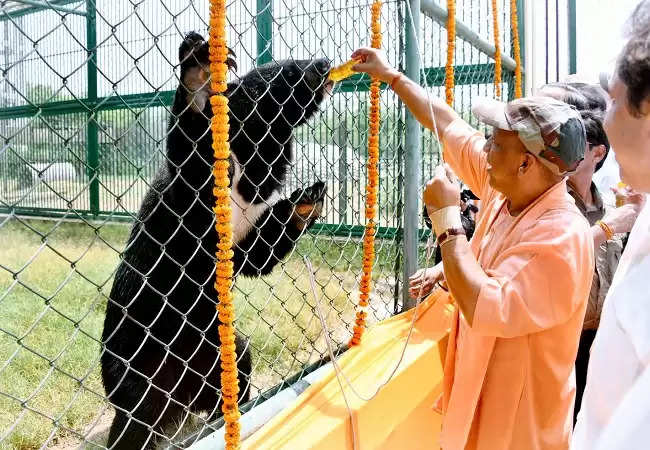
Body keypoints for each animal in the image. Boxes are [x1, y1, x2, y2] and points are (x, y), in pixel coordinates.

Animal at [102, 30, 332, 446]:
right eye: (287, 72)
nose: (324, 64)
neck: (248, 163)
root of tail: (177, 398)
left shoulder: (248, 216)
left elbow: (257, 256)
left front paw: (307, 199)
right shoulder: (194, 195)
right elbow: (191, 148)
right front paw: (201, 66)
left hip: (221, 351)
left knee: (237, 364)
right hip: (134, 373)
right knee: (132, 423)